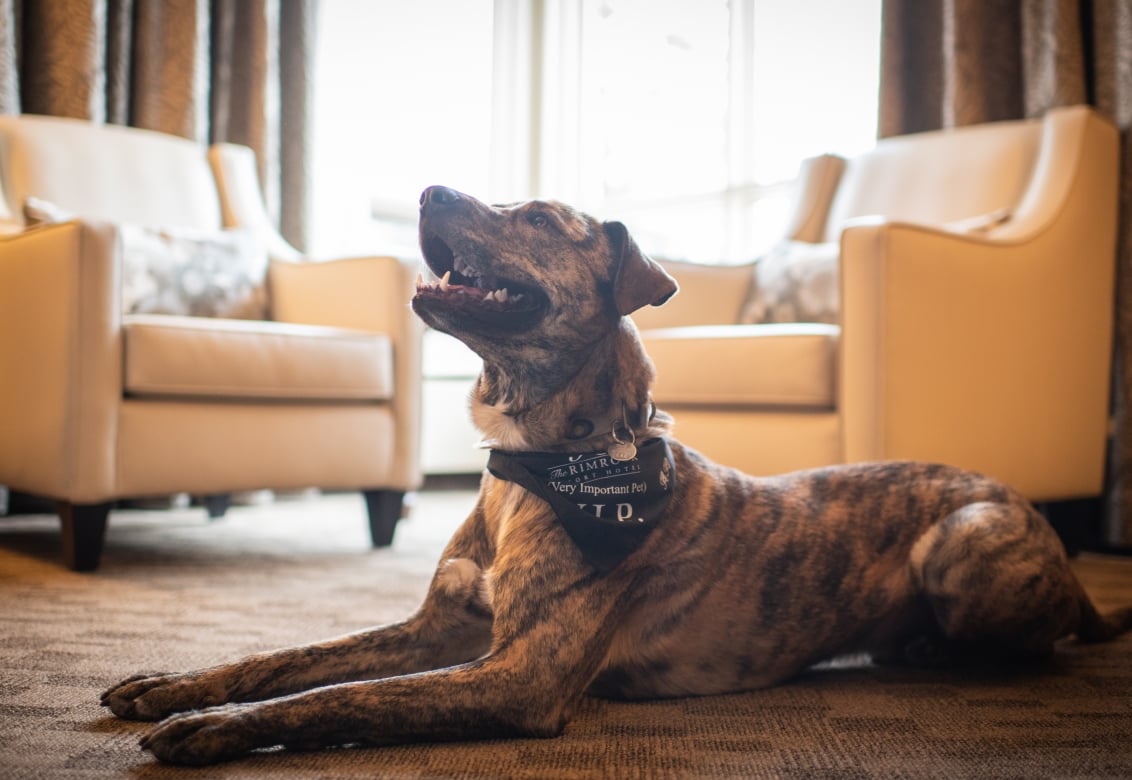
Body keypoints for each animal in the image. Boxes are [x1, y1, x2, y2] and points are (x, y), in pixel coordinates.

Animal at [101, 185, 1127, 765]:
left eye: (537, 219)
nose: (429, 187)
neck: (540, 462)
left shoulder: (518, 675)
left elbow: (338, 698)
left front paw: (215, 728)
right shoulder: (440, 628)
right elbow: (295, 658)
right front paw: (177, 685)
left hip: (963, 542)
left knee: (1032, 644)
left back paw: (928, 648)